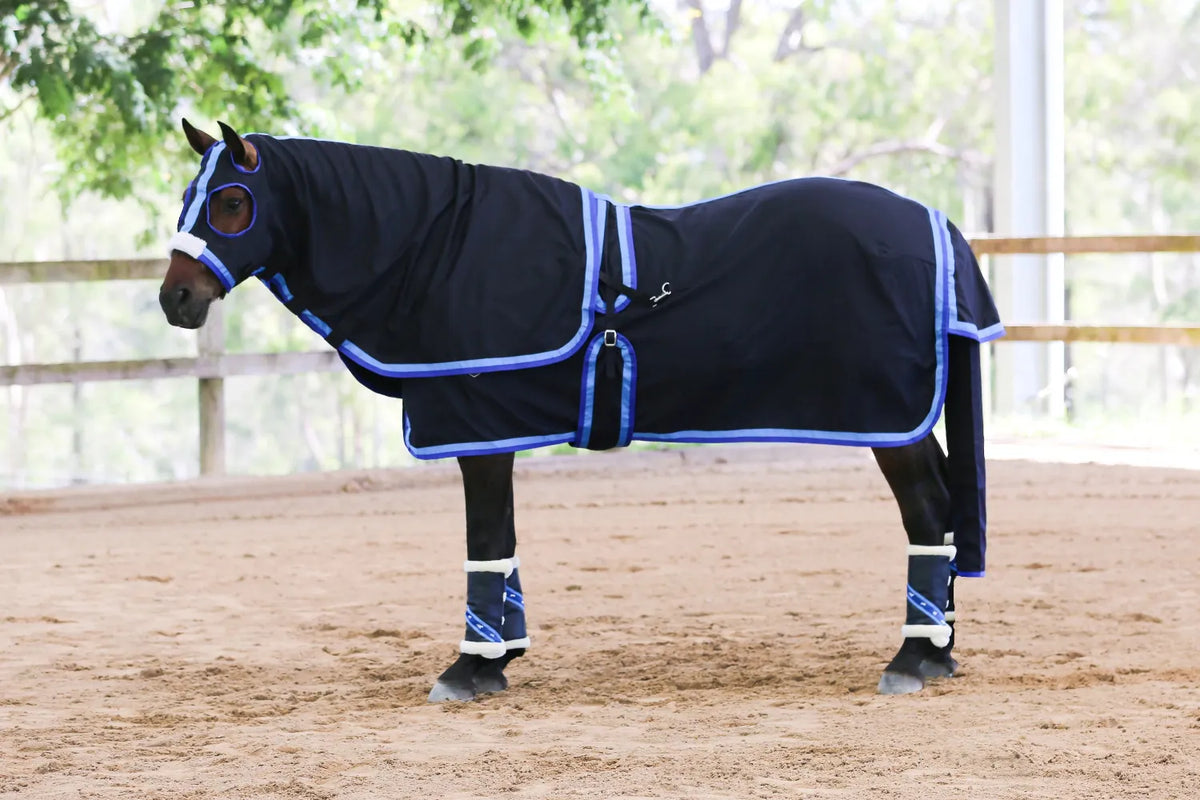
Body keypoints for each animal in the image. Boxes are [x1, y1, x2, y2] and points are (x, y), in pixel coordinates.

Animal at [159, 120, 1004, 701]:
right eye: (185, 201)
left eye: (232, 202)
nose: (175, 298)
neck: (435, 251)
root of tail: (936, 223)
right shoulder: (489, 428)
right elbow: (501, 546)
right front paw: (502, 655)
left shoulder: (476, 425)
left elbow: (485, 541)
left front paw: (470, 668)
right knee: (942, 512)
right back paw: (937, 648)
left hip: (891, 419)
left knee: (929, 512)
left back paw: (914, 656)